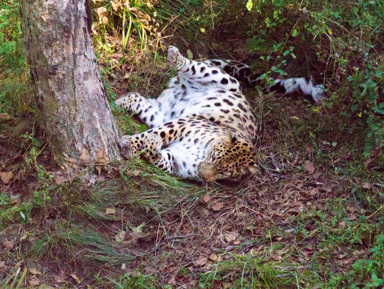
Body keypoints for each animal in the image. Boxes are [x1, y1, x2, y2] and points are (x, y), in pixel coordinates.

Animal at [115, 45, 326, 181]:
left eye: (224, 173)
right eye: (215, 157)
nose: (201, 173)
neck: (204, 151)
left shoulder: (178, 163)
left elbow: (161, 159)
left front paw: (146, 148)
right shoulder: (184, 124)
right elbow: (158, 133)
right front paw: (131, 144)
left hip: (160, 113)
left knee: (138, 98)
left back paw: (119, 103)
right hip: (221, 79)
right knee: (194, 65)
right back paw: (174, 55)